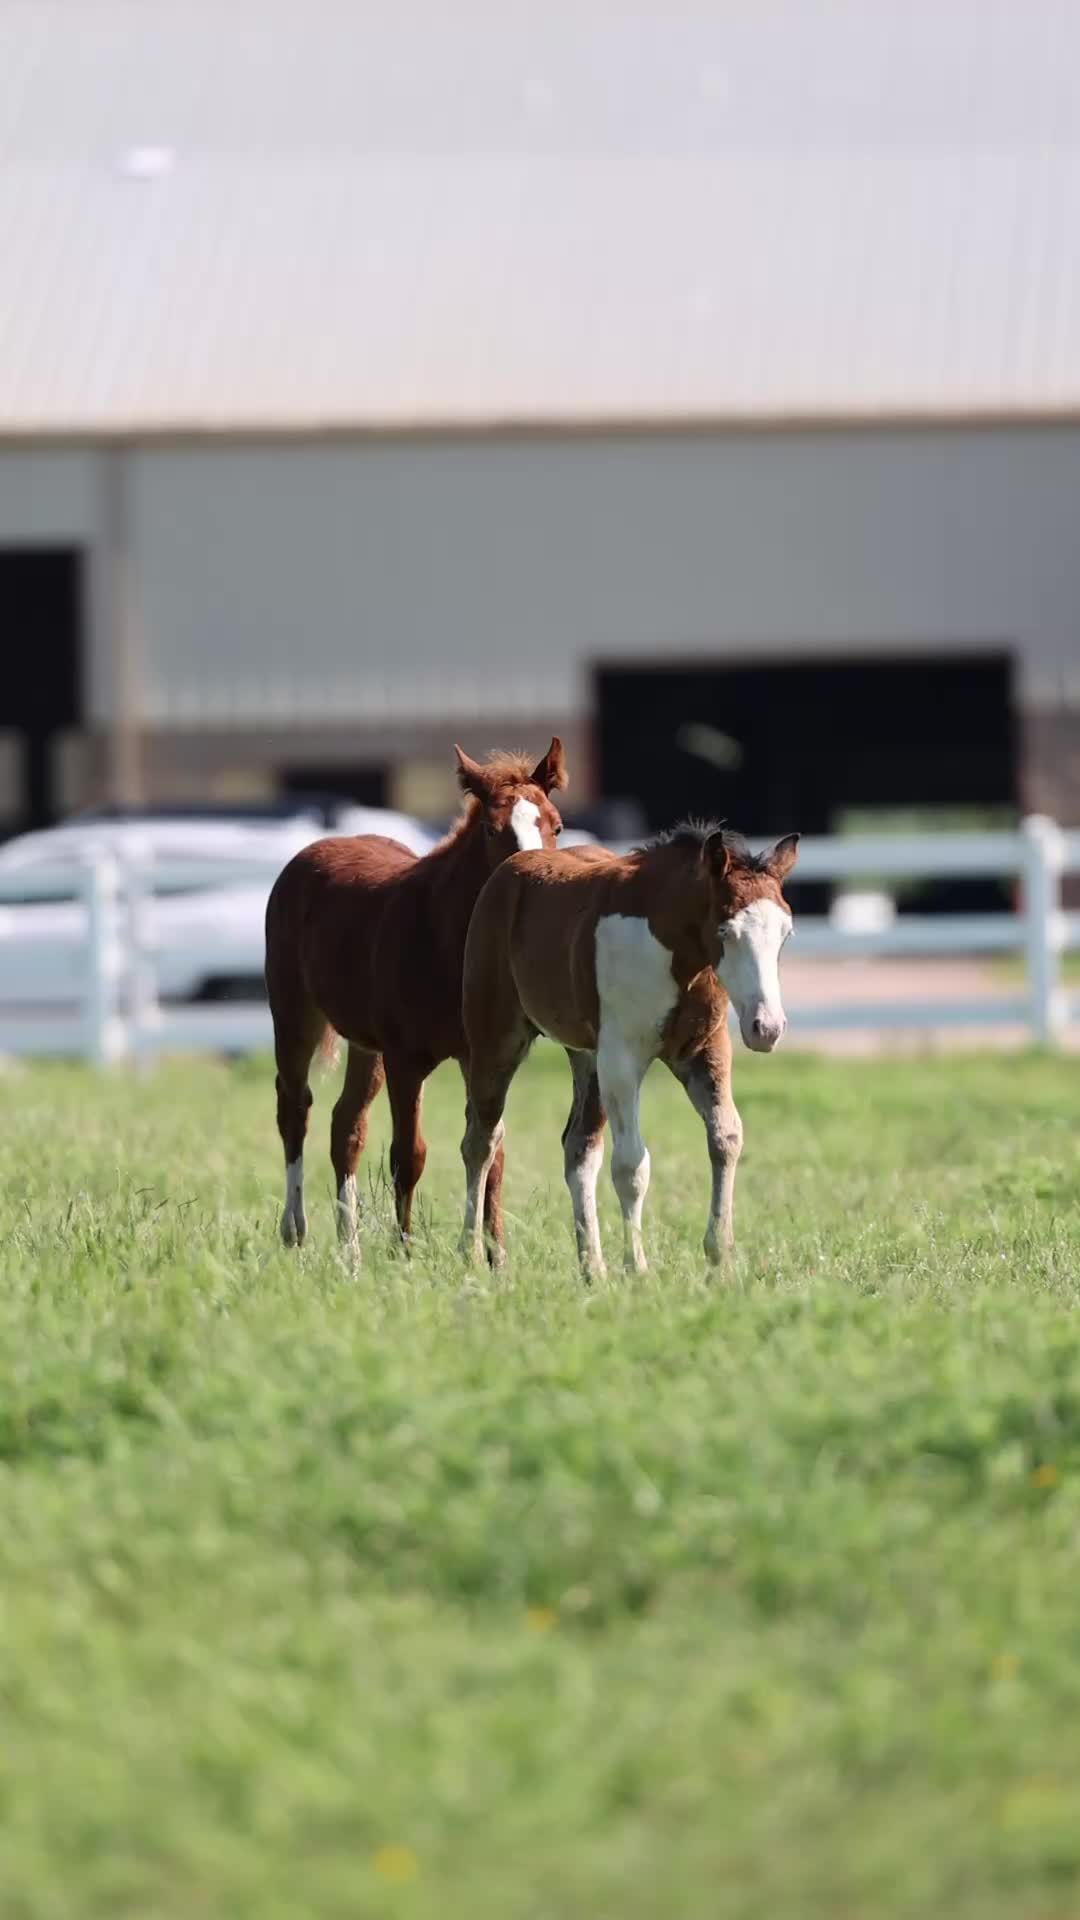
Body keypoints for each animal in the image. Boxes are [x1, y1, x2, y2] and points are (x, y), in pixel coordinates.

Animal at [264, 739, 568, 1257]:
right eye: (493, 829)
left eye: (556, 825)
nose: (532, 878)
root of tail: (314, 850)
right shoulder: (406, 1059)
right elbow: (410, 1154)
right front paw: (404, 1254)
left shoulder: (481, 1054)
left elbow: (492, 1151)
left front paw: (497, 1259)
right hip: (294, 1016)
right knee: (294, 1107)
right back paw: (295, 1231)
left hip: (366, 1044)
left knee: (346, 1126)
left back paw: (350, 1249)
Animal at [458, 823, 799, 1275]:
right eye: (726, 931)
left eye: (785, 934)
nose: (767, 1028)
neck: (676, 955)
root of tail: (509, 871)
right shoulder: (622, 1059)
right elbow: (631, 1164)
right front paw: (637, 1268)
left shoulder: (704, 1050)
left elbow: (726, 1138)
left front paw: (720, 1258)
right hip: (497, 1041)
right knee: (481, 1140)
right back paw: (471, 1253)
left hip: (588, 1059)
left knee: (579, 1148)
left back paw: (593, 1269)